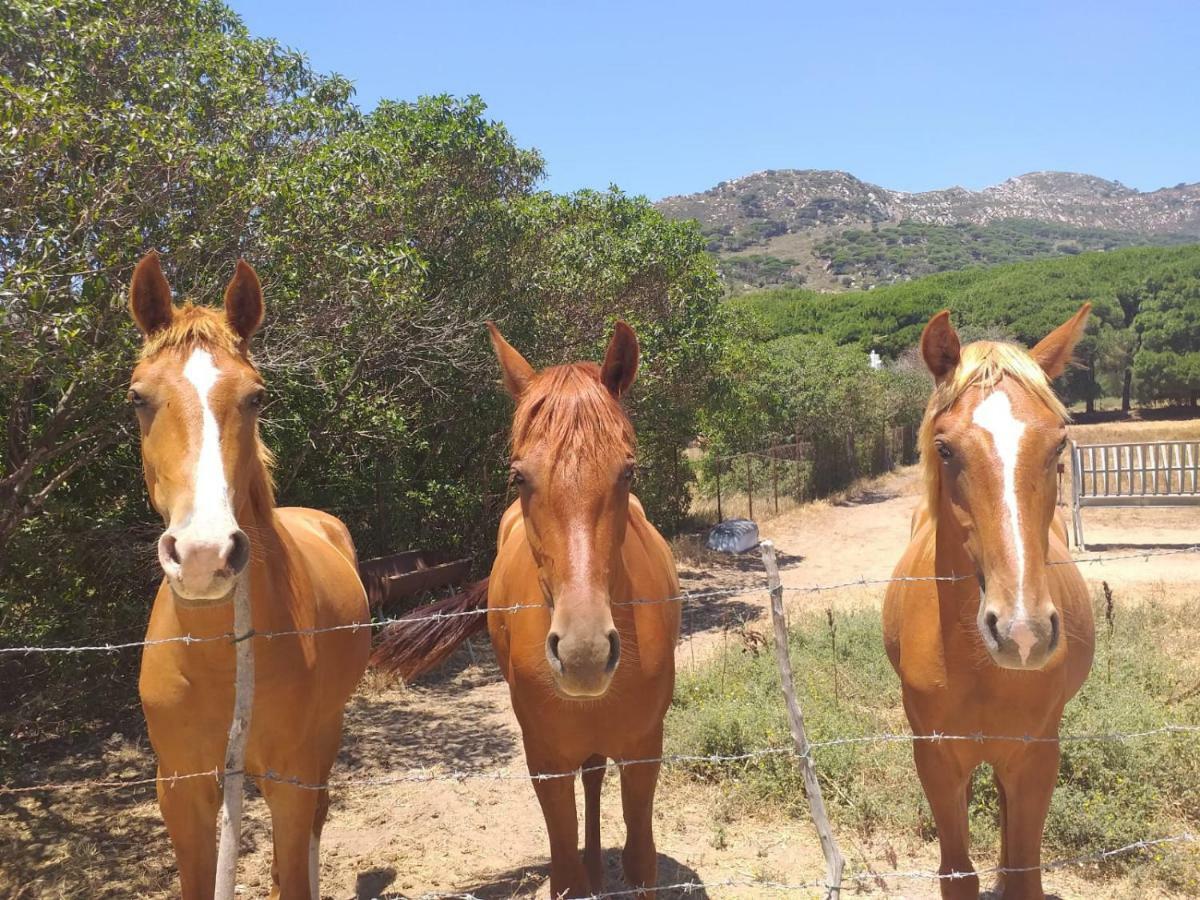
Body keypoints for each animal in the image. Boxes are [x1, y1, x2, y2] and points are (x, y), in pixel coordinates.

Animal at [126, 254, 369, 900]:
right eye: (137, 398)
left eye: (256, 398)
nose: (204, 553)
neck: (217, 658)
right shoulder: (181, 787)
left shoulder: (290, 776)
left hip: (325, 739)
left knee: (316, 824)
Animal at [374, 321, 681, 897]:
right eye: (519, 477)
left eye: (628, 472)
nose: (584, 653)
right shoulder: (545, 761)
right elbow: (564, 874)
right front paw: (582, 872)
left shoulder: (644, 751)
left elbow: (641, 860)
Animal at [883, 304, 1099, 900]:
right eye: (945, 448)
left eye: (1059, 446)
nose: (1023, 632)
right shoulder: (935, 756)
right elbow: (958, 874)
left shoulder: (1036, 756)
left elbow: (1025, 872)